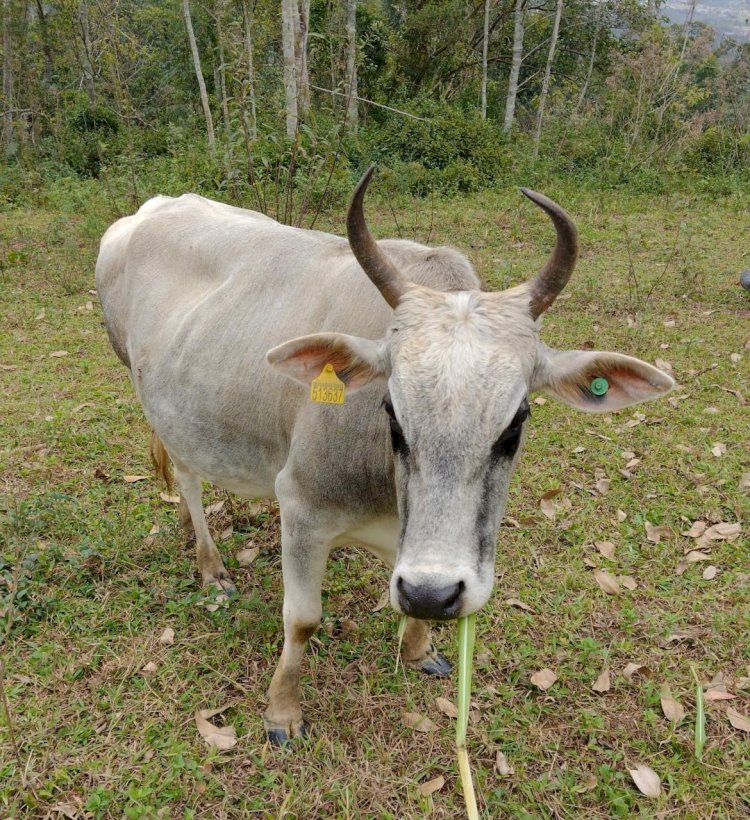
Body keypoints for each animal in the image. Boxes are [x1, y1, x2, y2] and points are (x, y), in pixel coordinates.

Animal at [95, 170, 676, 748]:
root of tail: (147, 211)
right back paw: (210, 567)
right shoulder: (301, 507)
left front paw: (419, 648)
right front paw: (282, 712)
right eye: (391, 412)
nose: (431, 593)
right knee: (188, 478)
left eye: (516, 422)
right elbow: (302, 619)